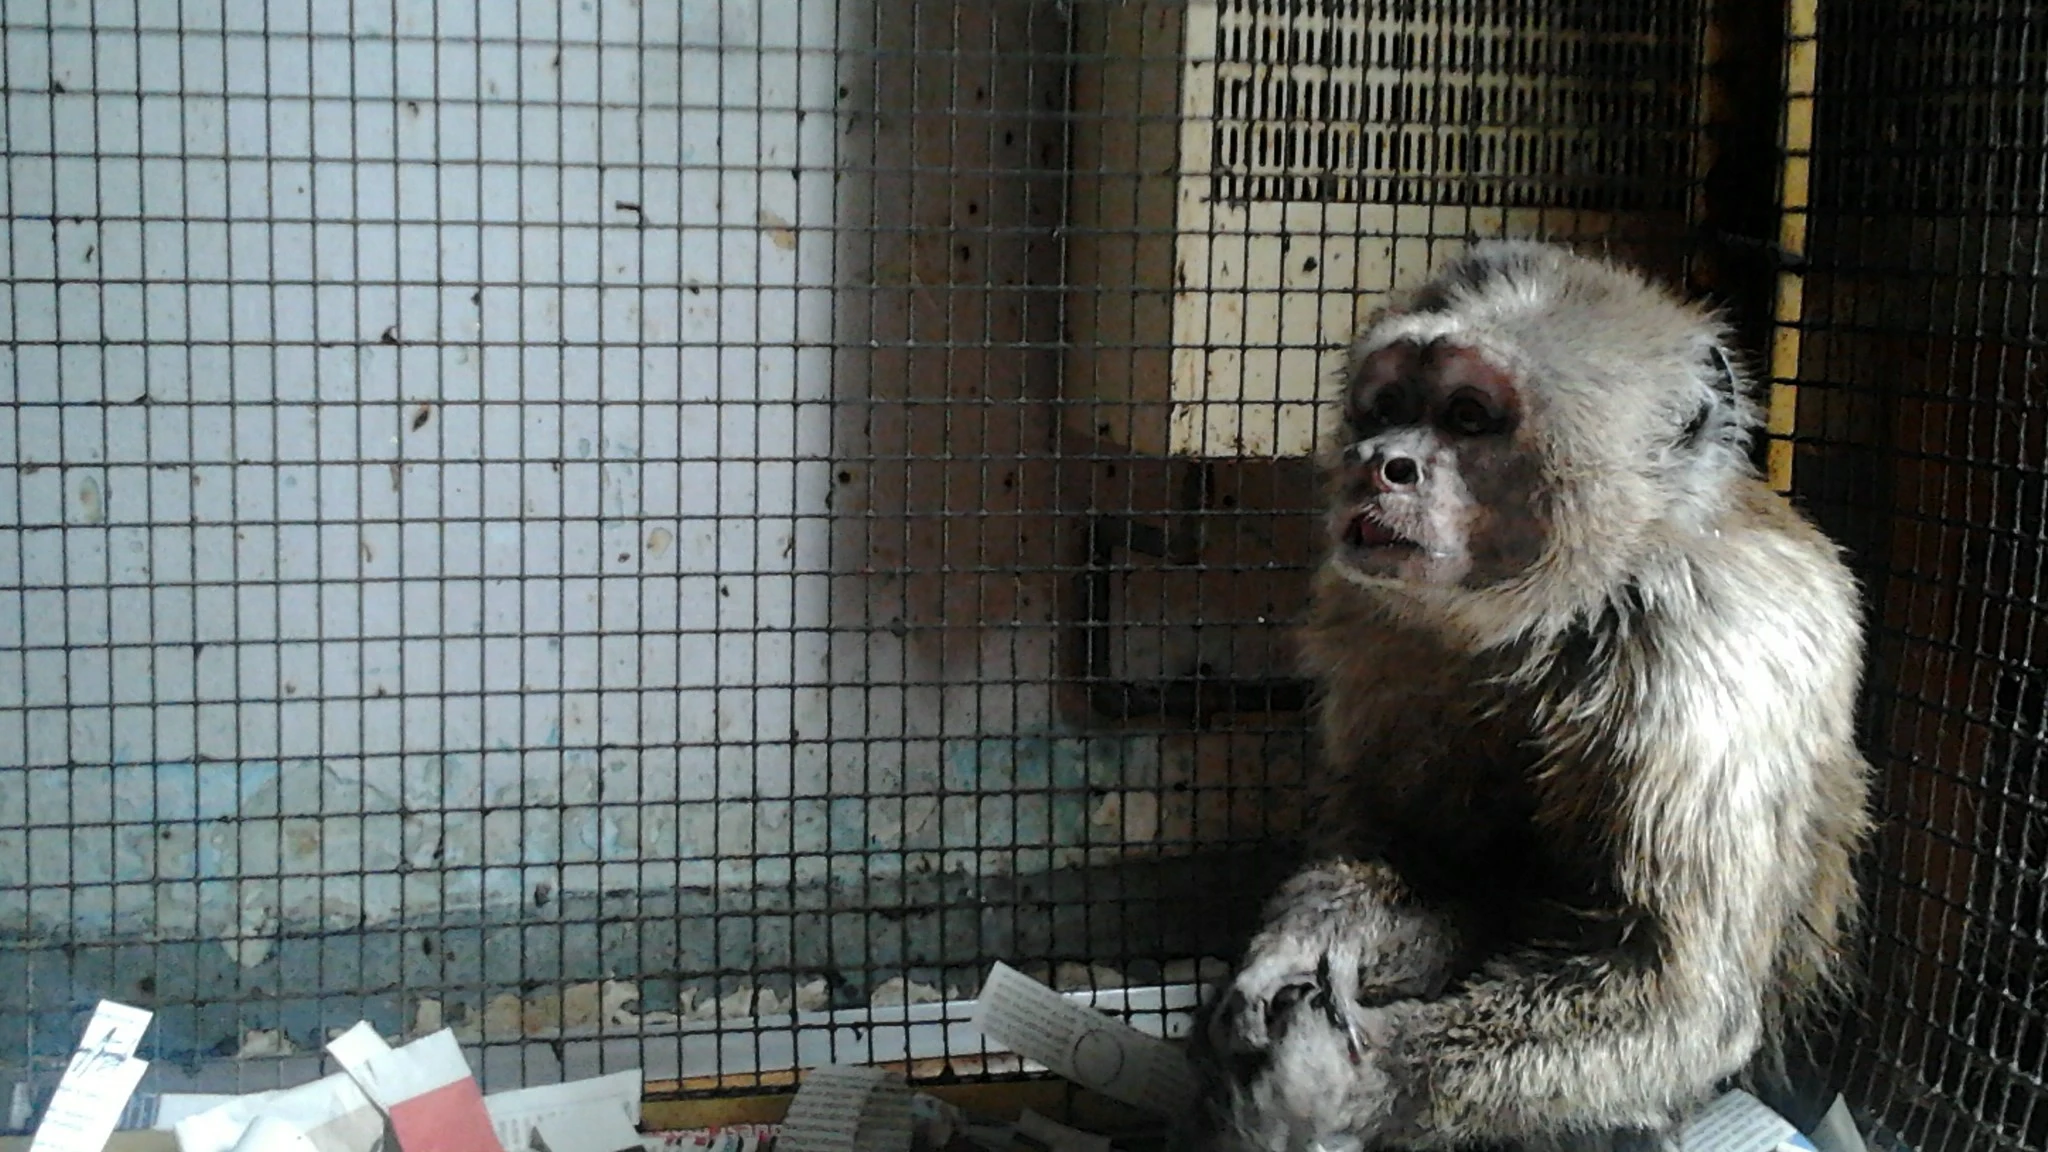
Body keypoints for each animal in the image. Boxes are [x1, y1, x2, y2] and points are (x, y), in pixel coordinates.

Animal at [1184, 240, 1874, 1152]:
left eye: (1469, 416)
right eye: (1389, 406)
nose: (1381, 463)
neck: (1572, 608)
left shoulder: (1708, 655)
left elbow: (1680, 1006)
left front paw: (1349, 1082)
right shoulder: (1375, 625)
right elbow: (1415, 861)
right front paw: (1303, 940)